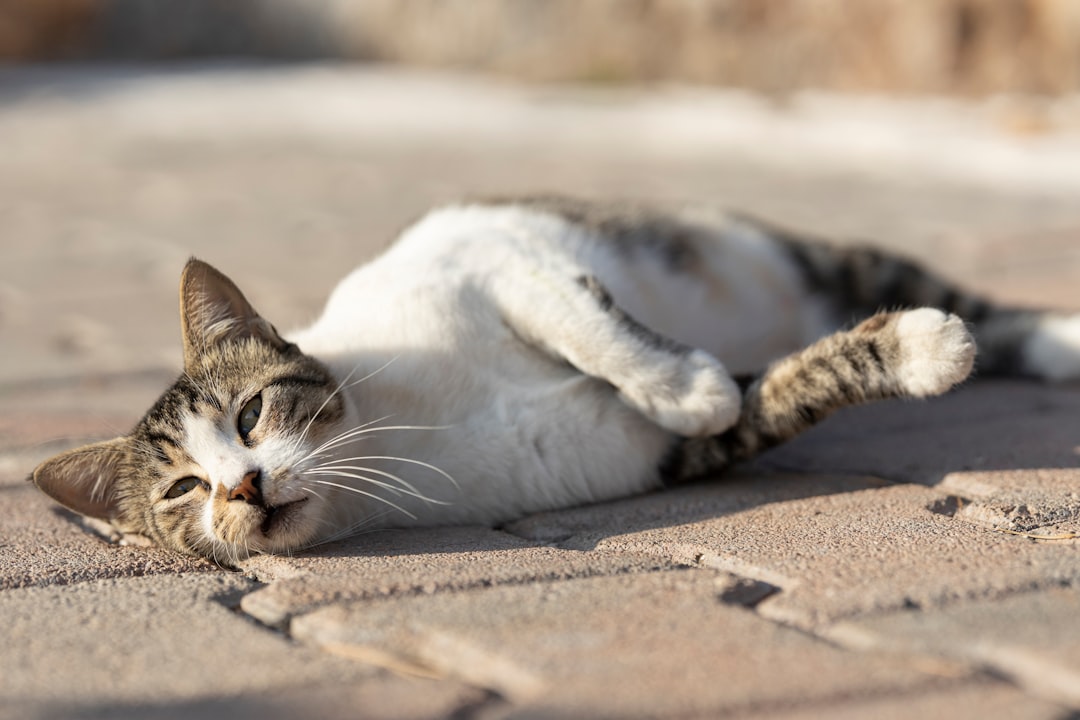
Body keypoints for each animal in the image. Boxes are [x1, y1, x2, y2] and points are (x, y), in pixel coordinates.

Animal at [29, 194, 1075, 565]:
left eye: (249, 412)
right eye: (181, 490)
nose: (242, 486)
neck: (400, 439)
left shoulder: (499, 261)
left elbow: (596, 329)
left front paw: (687, 381)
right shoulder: (643, 455)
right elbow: (783, 391)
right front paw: (911, 353)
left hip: (816, 255)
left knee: (939, 288)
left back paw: (1054, 339)